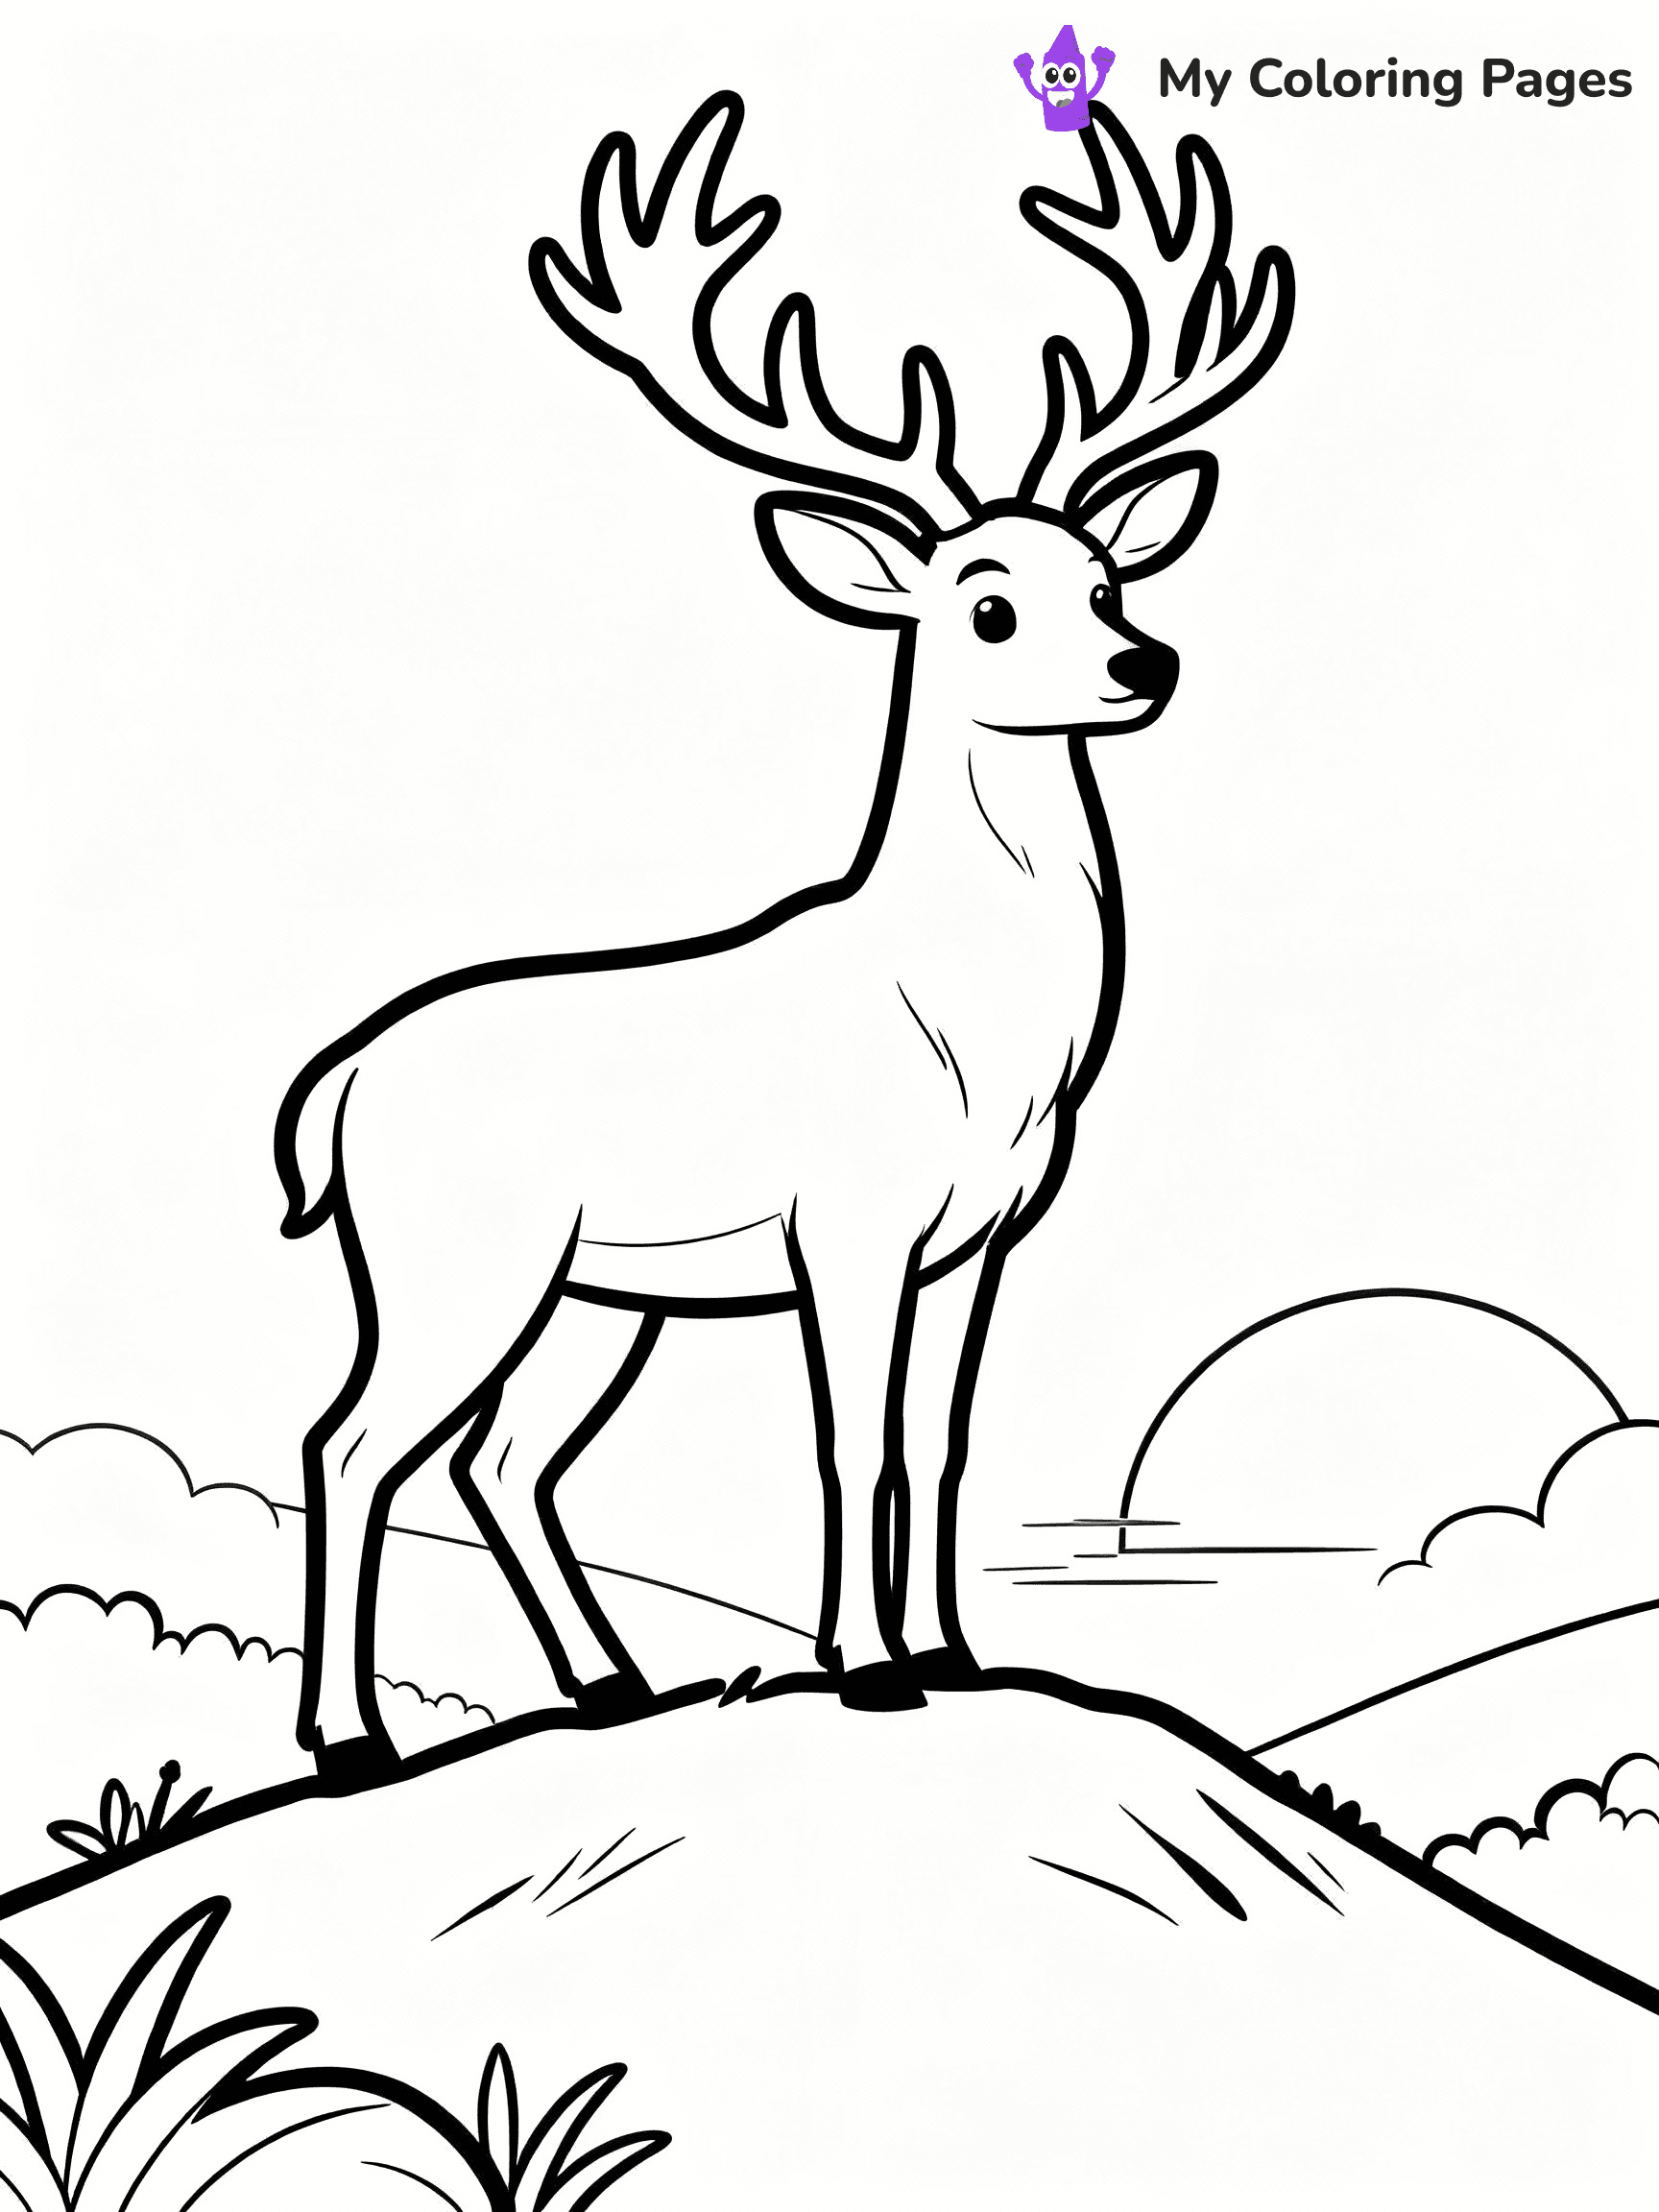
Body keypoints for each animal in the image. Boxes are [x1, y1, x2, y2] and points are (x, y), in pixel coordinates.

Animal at [275, 91, 1293, 1782]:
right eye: (987, 607)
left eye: (1103, 575)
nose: (1144, 661)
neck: (986, 1044)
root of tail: (336, 1088)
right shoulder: (852, 1223)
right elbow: (845, 1435)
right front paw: (867, 1667)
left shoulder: (983, 1236)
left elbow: (939, 1441)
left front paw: (952, 1650)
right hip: (450, 1254)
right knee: (354, 1440)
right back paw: (351, 1740)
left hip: (595, 1296)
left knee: (503, 1456)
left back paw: (611, 1685)